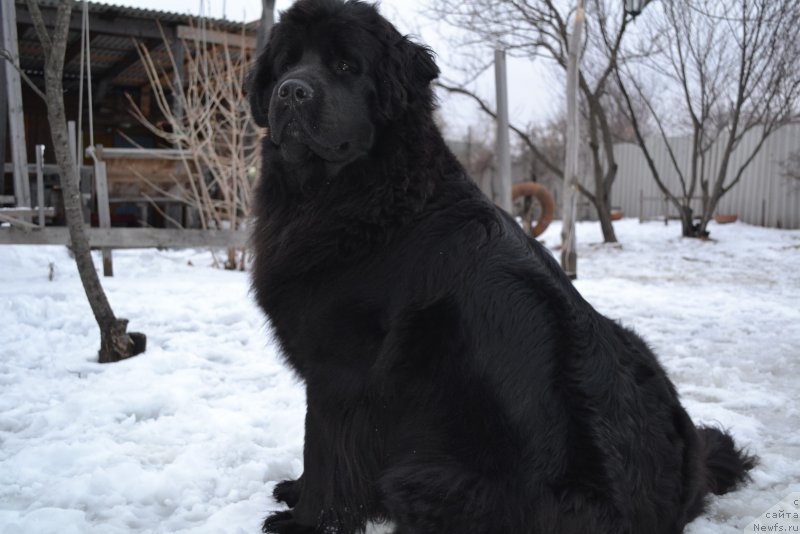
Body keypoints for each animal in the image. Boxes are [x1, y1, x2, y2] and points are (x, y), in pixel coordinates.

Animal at [248, 2, 756, 532]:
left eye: (346, 66)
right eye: (286, 64)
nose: (292, 91)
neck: (364, 195)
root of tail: (675, 495)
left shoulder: (339, 370)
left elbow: (325, 448)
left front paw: (308, 519)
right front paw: (296, 492)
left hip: (424, 476)